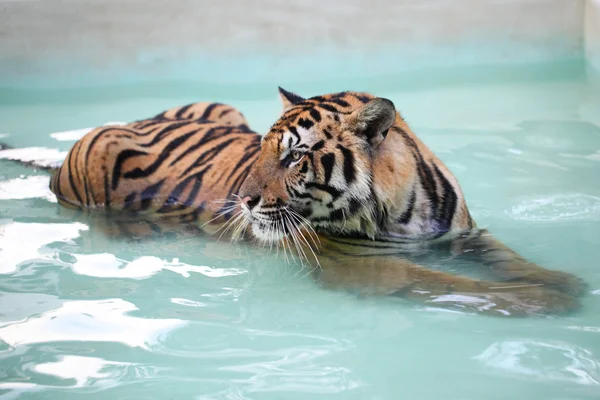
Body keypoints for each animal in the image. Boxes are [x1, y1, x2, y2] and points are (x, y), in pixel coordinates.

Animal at [4, 90, 584, 316]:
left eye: (294, 156)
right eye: (262, 150)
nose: (242, 200)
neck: (405, 214)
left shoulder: (466, 236)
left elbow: (510, 261)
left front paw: (561, 281)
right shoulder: (365, 266)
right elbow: (454, 285)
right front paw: (541, 301)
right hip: (97, 158)